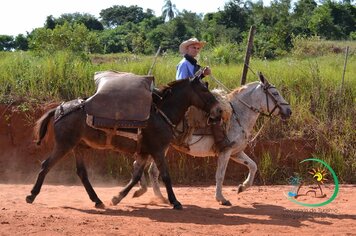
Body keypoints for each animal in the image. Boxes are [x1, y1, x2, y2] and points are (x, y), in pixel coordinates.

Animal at [132, 73, 290, 206]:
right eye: (275, 93)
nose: (289, 111)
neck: (237, 116)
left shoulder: (235, 153)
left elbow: (253, 165)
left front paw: (242, 187)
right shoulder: (225, 152)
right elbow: (220, 175)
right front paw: (222, 198)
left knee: (148, 168)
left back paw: (154, 195)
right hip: (158, 147)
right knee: (148, 169)